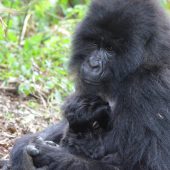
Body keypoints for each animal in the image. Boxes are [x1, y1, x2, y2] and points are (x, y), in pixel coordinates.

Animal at [10, 0, 170, 169]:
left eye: (110, 49)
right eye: (94, 43)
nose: (93, 64)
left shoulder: (153, 86)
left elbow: (151, 164)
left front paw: (50, 155)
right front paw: (23, 149)